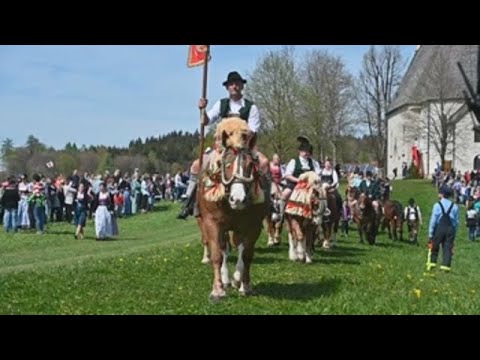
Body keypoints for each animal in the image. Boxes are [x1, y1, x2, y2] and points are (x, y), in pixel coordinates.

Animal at [196, 118, 270, 300]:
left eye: (250, 164)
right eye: (227, 164)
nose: (238, 199)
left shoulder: (253, 225)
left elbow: (246, 255)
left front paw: (245, 285)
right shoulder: (212, 223)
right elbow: (217, 254)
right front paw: (217, 289)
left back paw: (236, 278)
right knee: (223, 248)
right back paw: (225, 279)